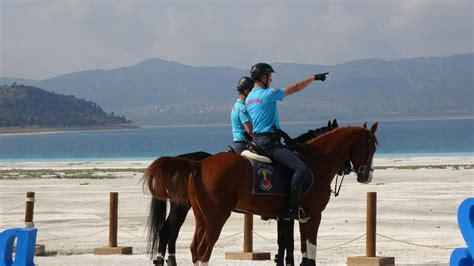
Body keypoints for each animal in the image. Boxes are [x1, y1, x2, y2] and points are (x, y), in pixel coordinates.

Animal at [143, 123, 380, 266]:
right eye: (373, 148)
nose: (366, 176)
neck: (314, 163)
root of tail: (198, 164)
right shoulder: (311, 217)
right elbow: (301, 251)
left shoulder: (294, 218)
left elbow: (293, 249)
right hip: (213, 217)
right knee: (196, 246)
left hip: (200, 216)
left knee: (185, 243)